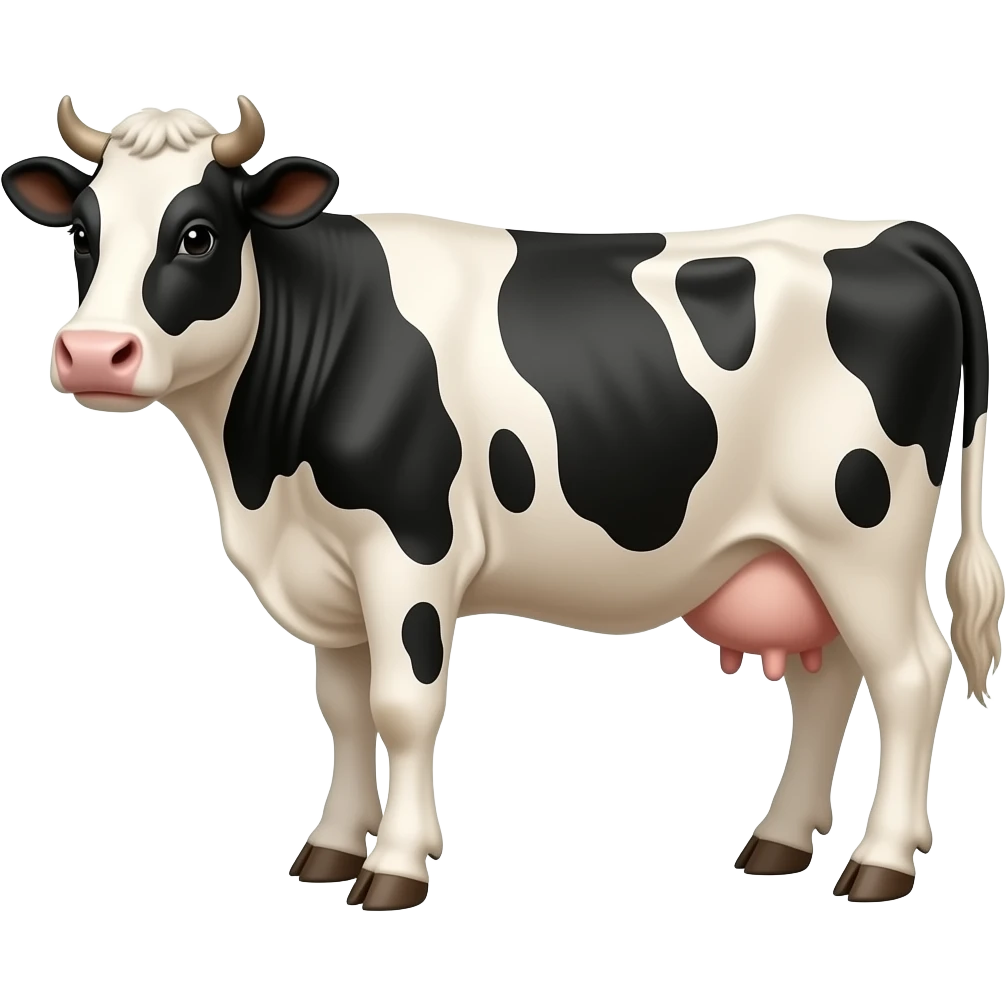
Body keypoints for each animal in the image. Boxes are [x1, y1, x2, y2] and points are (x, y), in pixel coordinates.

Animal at [4, 96, 1001, 910]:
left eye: (199, 235)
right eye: (84, 235)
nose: (92, 353)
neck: (261, 475)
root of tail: (894, 233)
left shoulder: (407, 546)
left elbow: (403, 705)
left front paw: (394, 868)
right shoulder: (328, 568)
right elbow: (344, 708)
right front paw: (329, 849)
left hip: (864, 535)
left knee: (912, 673)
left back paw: (881, 864)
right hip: (797, 552)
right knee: (830, 681)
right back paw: (780, 843)